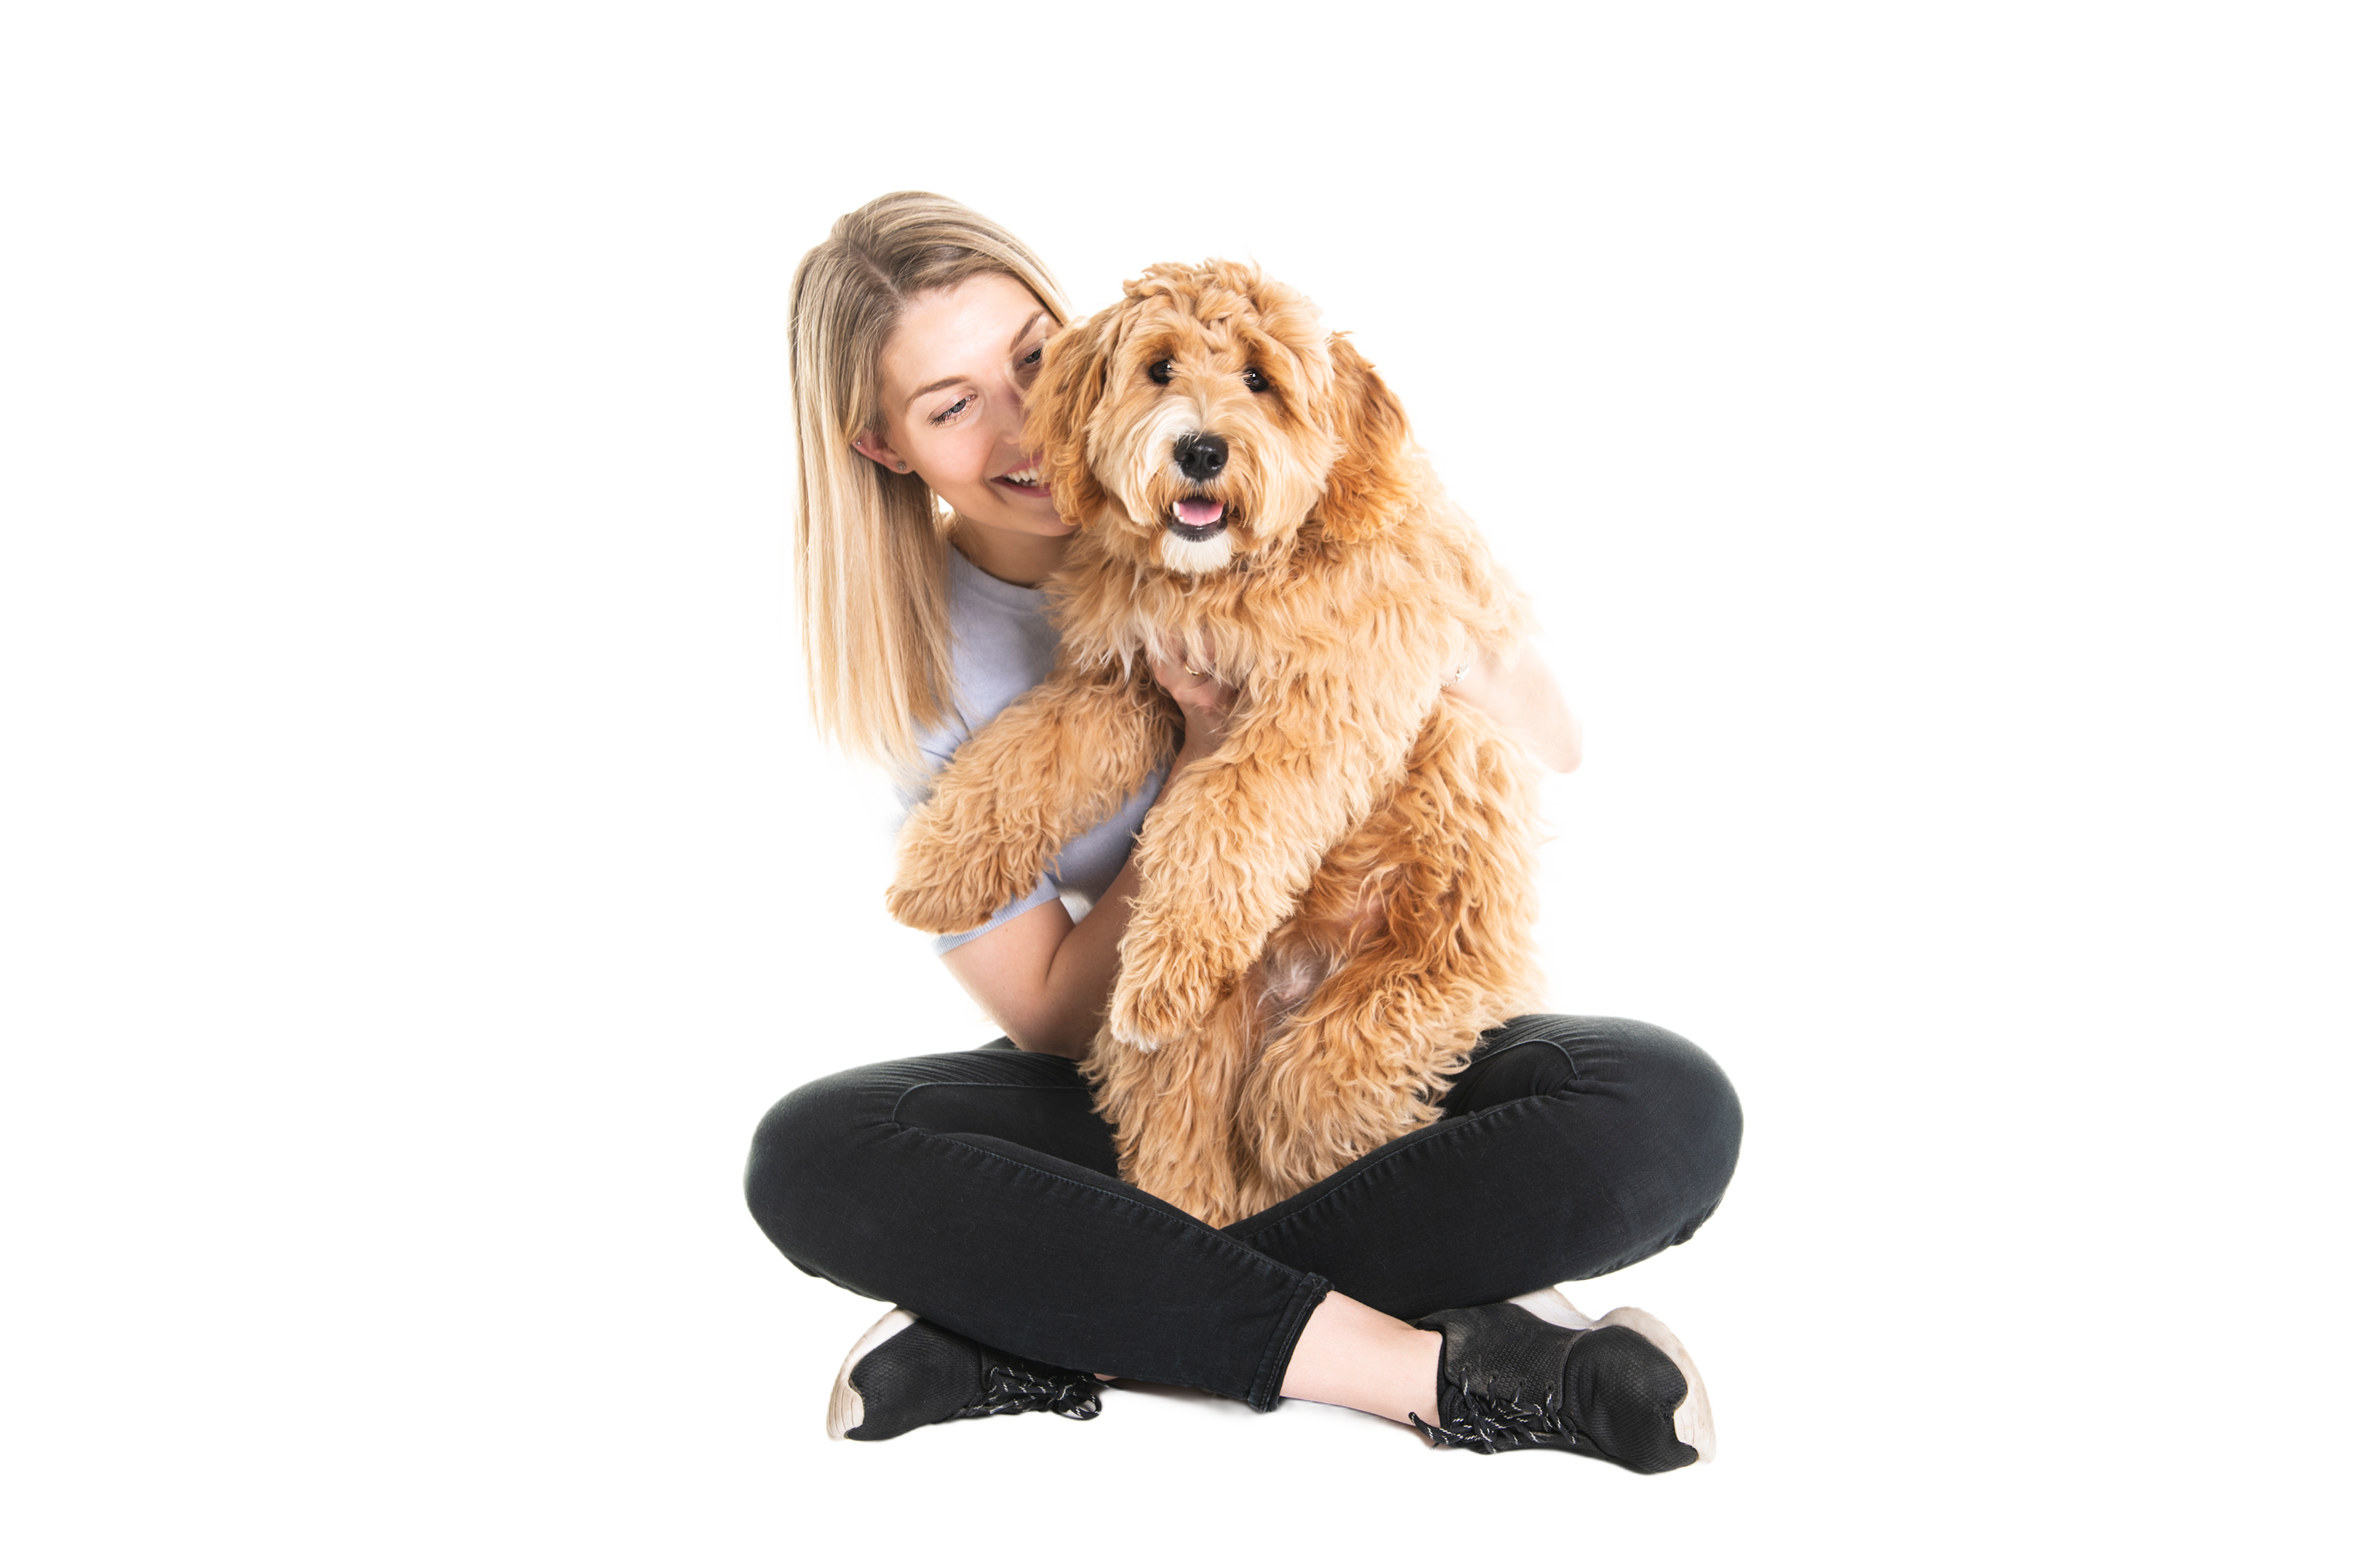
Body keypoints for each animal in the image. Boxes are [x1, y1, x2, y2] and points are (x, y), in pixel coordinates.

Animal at [884, 258, 1548, 1225]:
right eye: (1159, 368)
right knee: (1184, 1145)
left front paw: (1171, 959)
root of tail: (1299, 982)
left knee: (1312, 1097)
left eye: (1260, 380)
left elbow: (1227, 809)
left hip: (1427, 974)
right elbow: (1031, 752)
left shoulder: (1324, 702)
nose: (1200, 450)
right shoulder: (1122, 681)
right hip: (1198, 1057)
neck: (1225, 582)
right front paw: (937, 869)